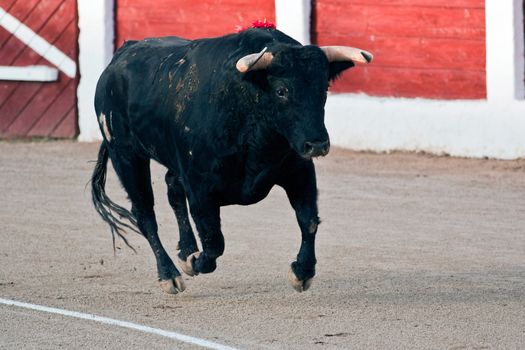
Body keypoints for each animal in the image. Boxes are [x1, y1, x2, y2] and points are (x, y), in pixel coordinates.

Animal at [90, 28, 370, 294]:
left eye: (323, 90)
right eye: (281, 91)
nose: (318, 144)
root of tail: (121, 55)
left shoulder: (298, 171)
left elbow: (308, 220)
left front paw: (302, 273)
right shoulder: (200, 187)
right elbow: (214, 241)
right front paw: (196, 262)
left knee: (172, 188)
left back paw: (186, 250)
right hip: (126, 155)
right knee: (145, 213)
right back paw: (170, 275)